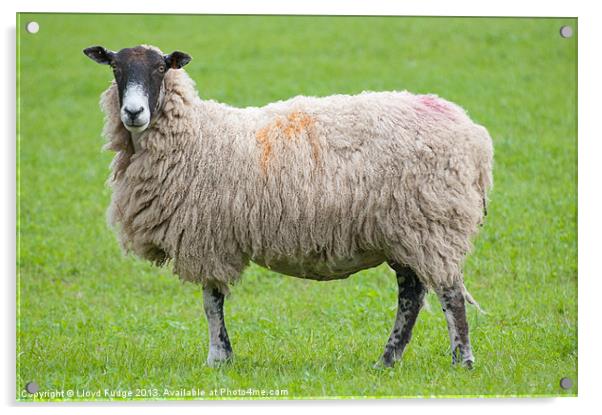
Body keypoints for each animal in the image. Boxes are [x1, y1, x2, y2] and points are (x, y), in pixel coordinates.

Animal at [82, 44, 490, 370]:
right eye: (115, 68)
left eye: (160, 68)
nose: (133, 112)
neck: (197, 135)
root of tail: (473, 134)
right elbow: (212, 302)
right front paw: (221, 356)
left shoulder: (208, 237)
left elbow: (211, 301)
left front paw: (218, 358)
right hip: (405, 230)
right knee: (412, 295)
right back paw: (387, 361)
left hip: (432, 221)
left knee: (449, 294)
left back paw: (462, 360)